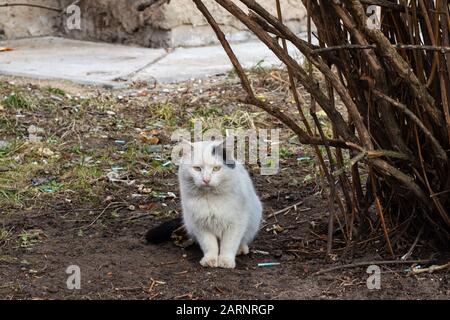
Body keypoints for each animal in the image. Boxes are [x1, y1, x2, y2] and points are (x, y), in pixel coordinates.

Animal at [179, 139, 262, 268]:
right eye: (197, 168)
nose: (206, 180)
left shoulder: (235, 224)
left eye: (216, 168)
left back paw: (240, 249)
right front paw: (210, 260)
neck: (211, 199)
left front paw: (226, 261)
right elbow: (209, 244)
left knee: (243, 240)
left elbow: (229, 244)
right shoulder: (200, 225)